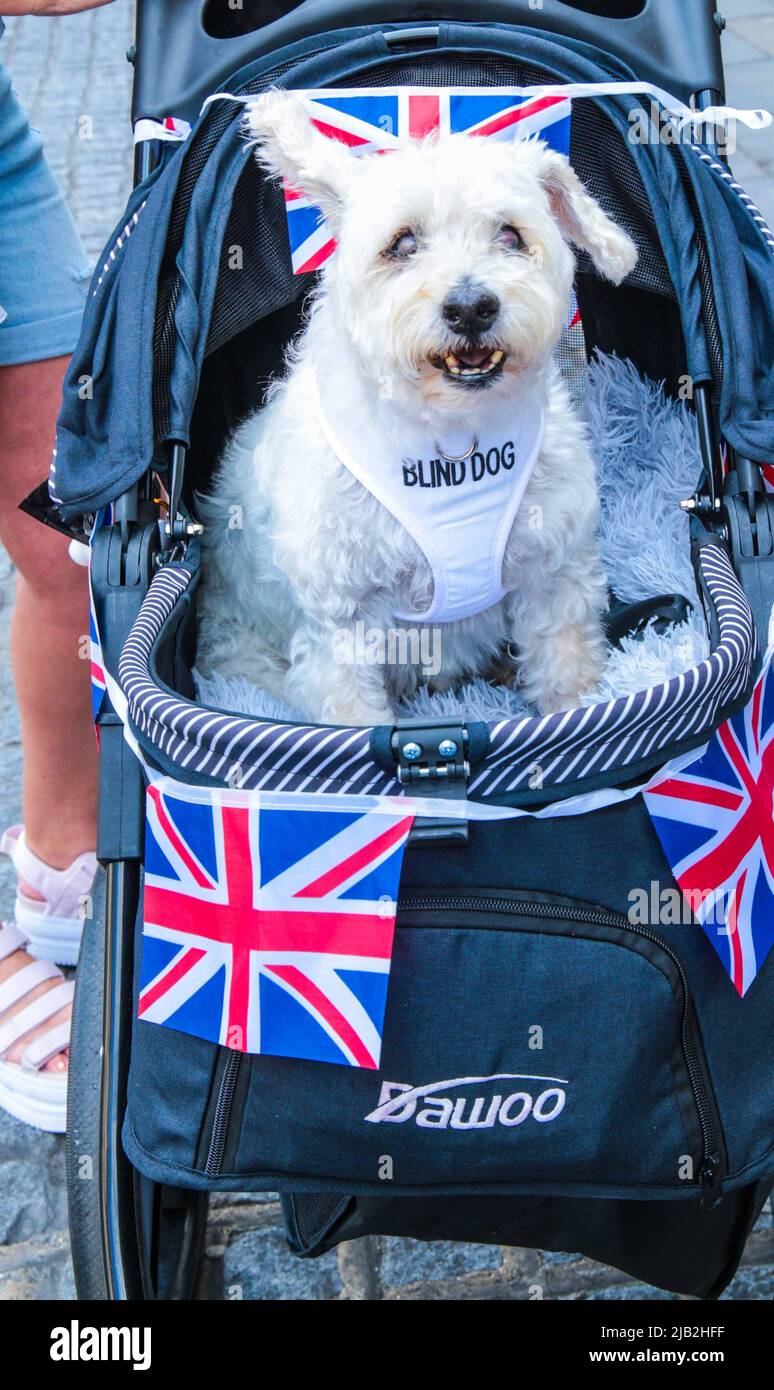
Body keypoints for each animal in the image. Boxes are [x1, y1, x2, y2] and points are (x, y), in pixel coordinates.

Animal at [197, 93, 633, 728]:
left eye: (510, 235)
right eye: (402, 243)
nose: (471, 306)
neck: (450, 436)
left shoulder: (554, 571)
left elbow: (566, 664)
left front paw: (580, 718)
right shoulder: (340, 623)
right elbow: (353, 719)